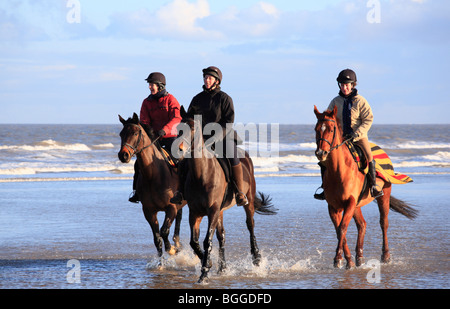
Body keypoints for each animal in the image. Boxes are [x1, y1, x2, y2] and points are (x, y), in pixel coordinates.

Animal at [118, 112, 185, 258]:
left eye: (135, 133)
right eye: (121, 134)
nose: (123, 155)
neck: (153, 175)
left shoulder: (171, 207)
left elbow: (164, 231)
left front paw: (171, 249)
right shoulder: (149, 211)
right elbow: (157, 239)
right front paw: (161, 261)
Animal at [178, 113, 276, 284]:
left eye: (193, 128)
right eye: (178, 128)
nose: (179, 148)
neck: (202, 175)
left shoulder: (212, 211)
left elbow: (207, 241)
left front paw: (204, 273)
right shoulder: (195, 212)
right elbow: (194, 242)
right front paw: (209, 262)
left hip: (247, 202)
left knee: (250, 225)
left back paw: (256, 258)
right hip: (221, 211)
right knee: (221, 236)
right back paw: (222, 267)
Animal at [314, 105, 416, 268]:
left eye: (330, 129)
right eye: (316, 129)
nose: (321, 153)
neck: (338, 171)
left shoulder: (349, 202)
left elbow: (342, 228)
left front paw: (338, 258)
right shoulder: (334, 207)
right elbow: (339, 230)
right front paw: (348, 260)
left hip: (383, 196)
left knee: (383, 223)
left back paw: (385, 256)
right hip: (357, 205)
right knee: (362, 225)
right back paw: (359, 257)